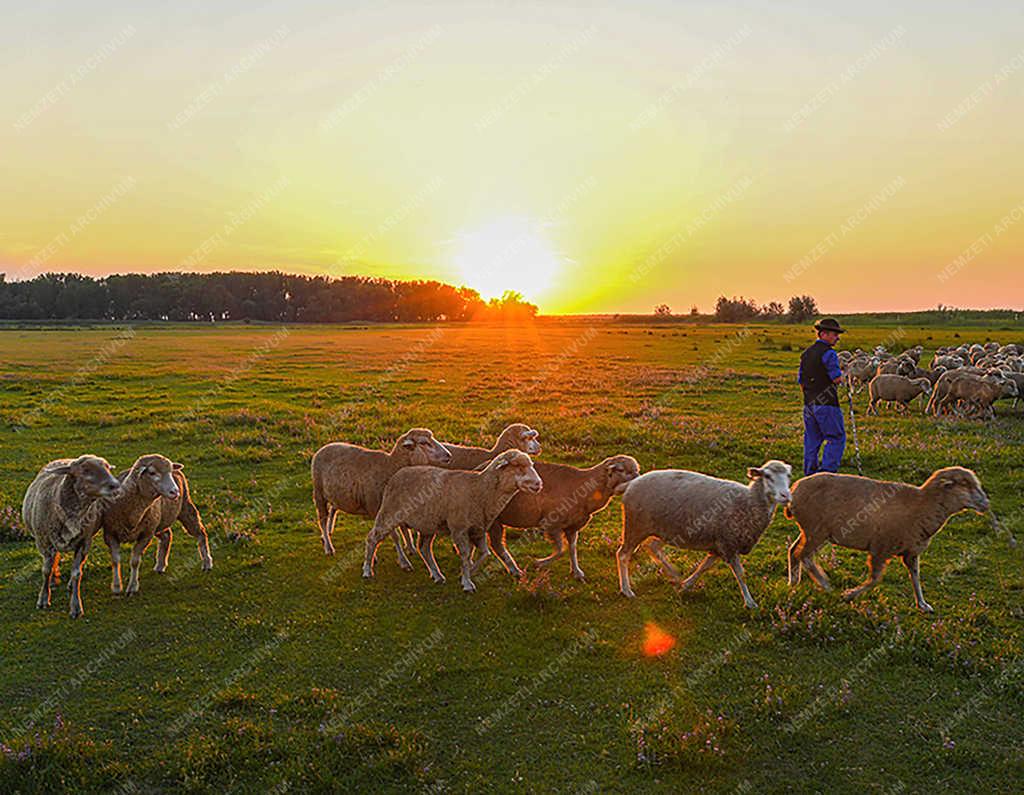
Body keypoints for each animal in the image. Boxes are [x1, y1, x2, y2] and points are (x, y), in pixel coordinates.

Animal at [21, 456, 120, 618]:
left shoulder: (83, 542)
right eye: (85, 470)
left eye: (107, 467)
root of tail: (64, 459)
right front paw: (43, 598)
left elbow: (76, 574)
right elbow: (45, 570)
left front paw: (75, 606)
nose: (116, 486)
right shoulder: (44, 542)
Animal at [100, 456, 210, 594]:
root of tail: (178, 469)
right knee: (167, 535)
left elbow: (135, 561)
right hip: (159, 522)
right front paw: (116, 587)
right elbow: (115, 561)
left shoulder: (146, 534)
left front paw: (132, 587)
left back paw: (207, 563)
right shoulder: (110, 534)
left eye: (169, 472)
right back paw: (160, 565)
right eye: (152, 473)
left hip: (185, 507)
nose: (175, 491)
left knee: (201, 532)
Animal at [309, 428, 450, 565]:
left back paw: (328, 532)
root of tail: (323, 447)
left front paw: (411, 548)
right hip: (319, 492)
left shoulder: (398, 505)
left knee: (333, 509)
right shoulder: (380, 508)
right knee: (322, 519)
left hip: (337, 494)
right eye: (423, 442)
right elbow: (395, 536)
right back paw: (328, 546)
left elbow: (404, 529)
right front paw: (403, 561)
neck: (391, 466)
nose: (449, 455)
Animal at [614, 458, 790, 610]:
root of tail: (632, 483)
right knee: (623, 555)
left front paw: (685, 585)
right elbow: (741, 574)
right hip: (636, 526)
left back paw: (674, 574)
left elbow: (704, 567)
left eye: (789, 476)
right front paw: (750, 602)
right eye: (767, 476)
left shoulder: (718, 545)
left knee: (653, 547)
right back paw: (626, 590)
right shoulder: (728, 543)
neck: (749, 501)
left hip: (666, 529)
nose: (786, 496)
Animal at [782, 463, 991, 610]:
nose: (986, 504)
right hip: (817, 530)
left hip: (810, 531)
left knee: (794, 551)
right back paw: (823, 583)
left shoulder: (911, 552)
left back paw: (793, 583)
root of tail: (795, 489)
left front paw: (923, 604)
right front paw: (849, 595)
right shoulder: (881, 548)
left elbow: (915, 576)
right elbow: (875, 579)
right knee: (804, 555)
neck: (923, 505)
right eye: (965, 485)